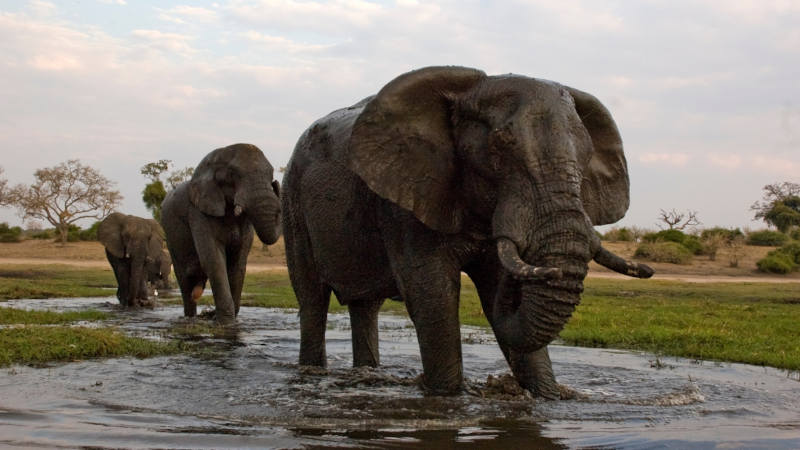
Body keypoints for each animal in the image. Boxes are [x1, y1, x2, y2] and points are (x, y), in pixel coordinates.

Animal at [160, 143, 281, 325]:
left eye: (271, 174)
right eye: (233, 174)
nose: (276, 183)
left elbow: (238, 264)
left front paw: (219, 318)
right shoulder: (198, 213)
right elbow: (214, 260)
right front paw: (225, 323)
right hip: (170, 238)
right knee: (185, 281)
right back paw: (190, 318)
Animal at [282, 66, 654, 397]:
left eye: (587, 154)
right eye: (500, 145)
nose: (546, 270)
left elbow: (492, 289)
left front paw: (548, 396)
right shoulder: (406, 200)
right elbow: (432, 293)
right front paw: (446, 396)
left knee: (365, 306)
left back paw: (367, 375)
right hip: (293, 202)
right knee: (312, 299)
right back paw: (312, 374)